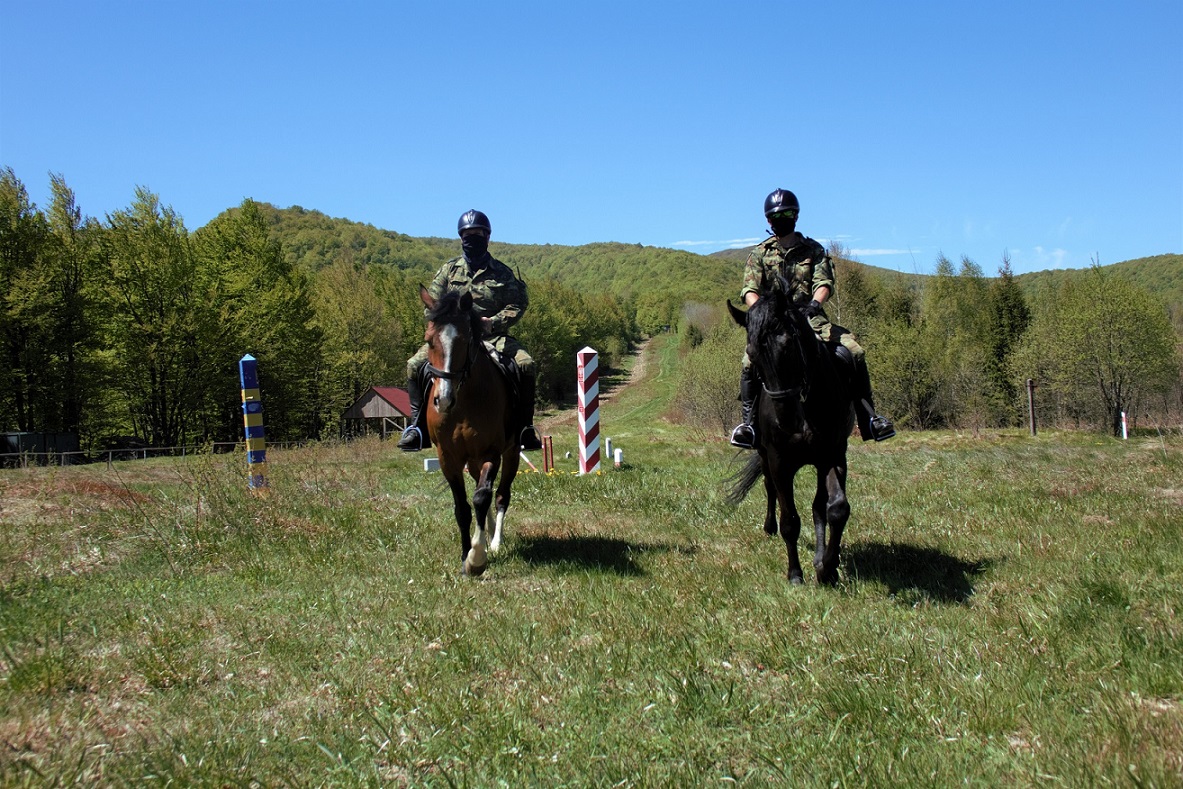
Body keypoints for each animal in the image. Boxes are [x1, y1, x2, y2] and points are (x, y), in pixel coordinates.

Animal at [421, 287, 522, 577]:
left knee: (500, 495)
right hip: (472, 460)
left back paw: (495, 541)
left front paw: (477, 558)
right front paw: (466, 554)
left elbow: (481, 497)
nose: (443, 400)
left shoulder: (492, 453)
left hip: (511, 454)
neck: (464, 401)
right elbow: (463, 508)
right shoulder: (448, 458)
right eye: (429, 341)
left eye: (465, 341)